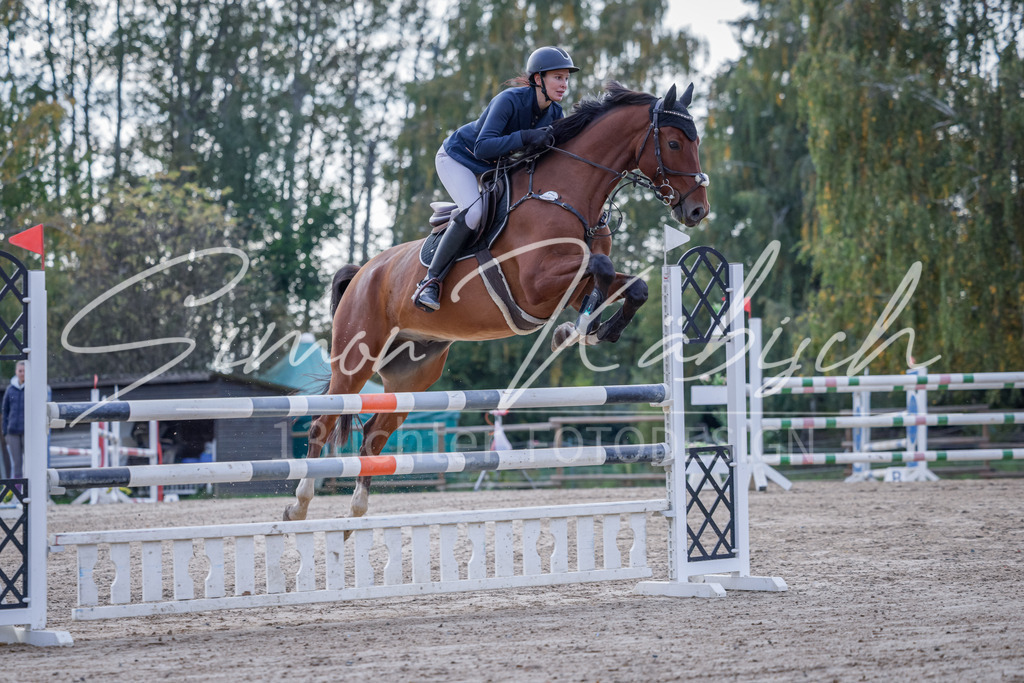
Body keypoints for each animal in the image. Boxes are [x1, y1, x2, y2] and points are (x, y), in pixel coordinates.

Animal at [283, 81, 710, 522]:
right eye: (674, 142)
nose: (697, 210)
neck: (568, 194)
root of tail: (363, 273)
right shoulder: (537, 283)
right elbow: (603, 266)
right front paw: (577, 330)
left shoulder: (571, 284)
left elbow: (632, 287)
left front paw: (588, 331)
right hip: (355, 359)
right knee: (322, 422)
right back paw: (299, 505)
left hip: (411, 376)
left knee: (373, 435)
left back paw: (357, 511)